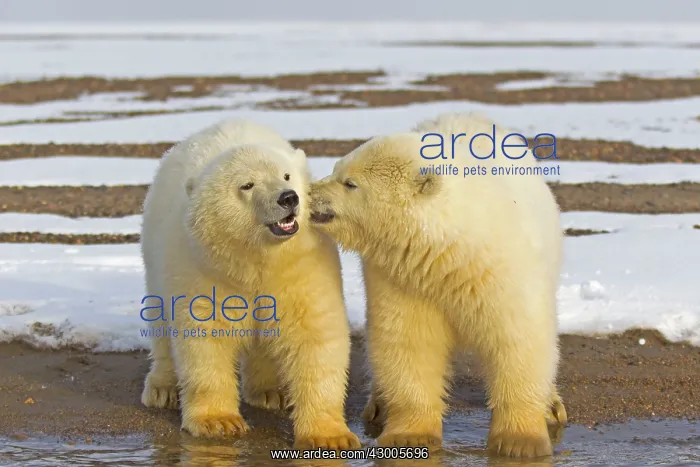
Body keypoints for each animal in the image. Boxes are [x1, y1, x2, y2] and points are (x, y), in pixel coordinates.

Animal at [139, 118, 360, 450]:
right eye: (247, 185)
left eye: (286, 175)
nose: (288, 197)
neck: (255, 259)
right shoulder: (205, 270)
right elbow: (206, 337)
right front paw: (218, 422)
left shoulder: (304, 267)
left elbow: (316, 335)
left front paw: (331, 436)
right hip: (155, 250)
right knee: (160, 318)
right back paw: (162, 388)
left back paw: (270, 391)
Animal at [309, 112, 567, 458]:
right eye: (336, 168)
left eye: (349, 183)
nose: (308, 193)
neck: (451, 252)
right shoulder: (404, 278)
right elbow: (411, 342)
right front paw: (409, 436)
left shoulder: (502, 272)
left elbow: (518, 340)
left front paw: (520, 441)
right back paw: (378, 405)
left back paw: (552, 407)